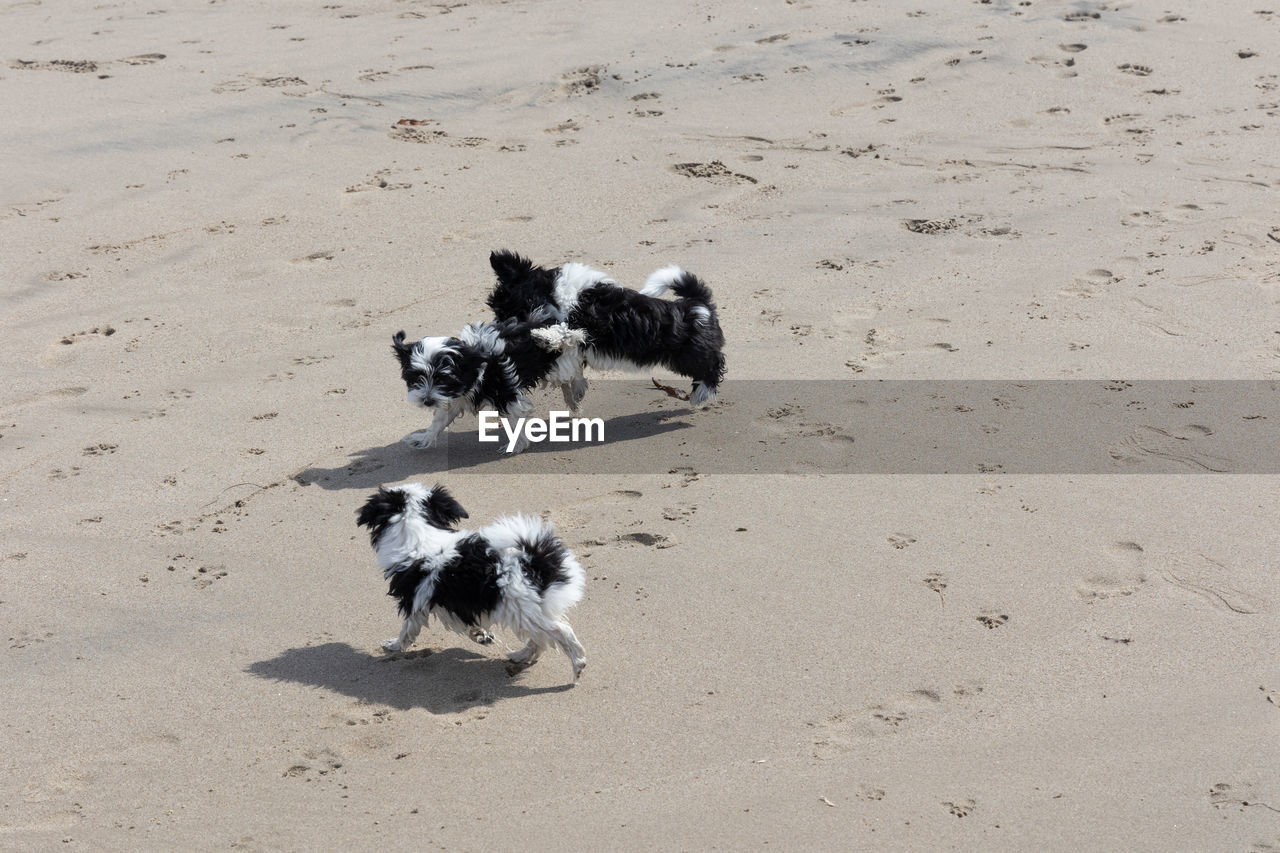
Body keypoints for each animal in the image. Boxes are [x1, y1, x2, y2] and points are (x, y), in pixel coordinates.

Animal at [355, 481, 586, 681]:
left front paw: (394, 646)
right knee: (540, 638)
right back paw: (520, 655)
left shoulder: (414, 602)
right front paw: (481, 635)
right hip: (529, 612)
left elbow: (407, 629)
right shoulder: (460, 605)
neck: (418, 532)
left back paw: (578, 665)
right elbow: (471, 625)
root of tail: (535, 561)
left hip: (522, 611)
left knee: (559, 631)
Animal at [391, 315, 586, 450]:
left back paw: (577, 388)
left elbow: (514, 419)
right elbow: (439, 419)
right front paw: (424, 438)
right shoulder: (456, 396)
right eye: (416, 378)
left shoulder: (506, 393)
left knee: (575, 368)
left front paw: (517, 445)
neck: (471, 365)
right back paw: (572, 400)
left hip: (557, 360)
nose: (427, 401)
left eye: (442, 379)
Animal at [483, 249, 727, 404]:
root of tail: (699, 304)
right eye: (498, 314)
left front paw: (546, 337)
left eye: (513, 311)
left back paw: (701, 394)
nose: (502, 332)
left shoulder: (592, 324)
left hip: (688, 355)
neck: (556, 294)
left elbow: (567, 330)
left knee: (713, 366)